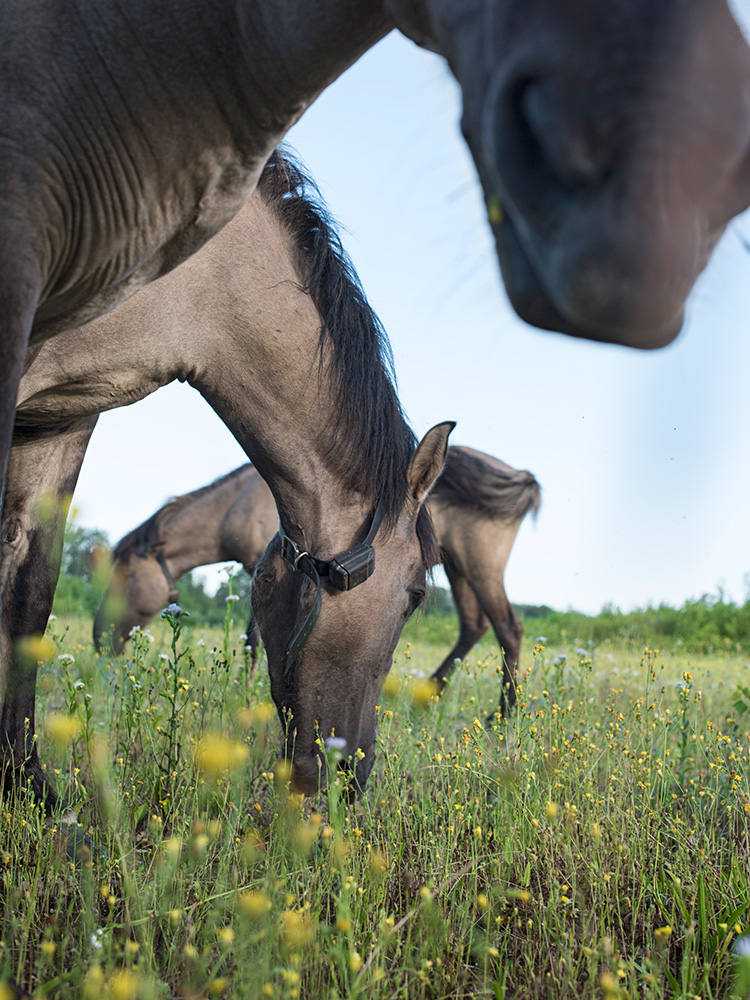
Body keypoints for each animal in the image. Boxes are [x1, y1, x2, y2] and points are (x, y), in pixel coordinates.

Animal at [6, 148, 454, 805]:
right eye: (417, 593)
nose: (355, 773)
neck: (194, 287)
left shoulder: (63, 413)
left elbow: (29, 587)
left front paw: (26, 784)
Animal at [94, 448, 540, 710]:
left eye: (125, 575)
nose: (100, 638)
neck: (239, 503)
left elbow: (253, 640)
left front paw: (246, 689)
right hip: (458, 567)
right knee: (474, 626)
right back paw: (429, 696)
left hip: (480, 567)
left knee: (508, 627)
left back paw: (503, 714)